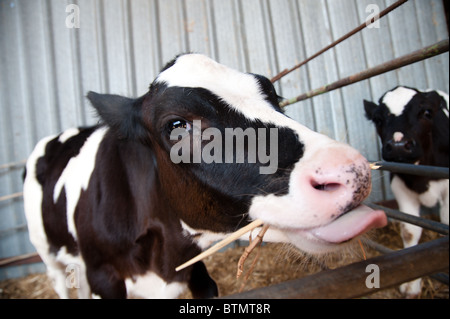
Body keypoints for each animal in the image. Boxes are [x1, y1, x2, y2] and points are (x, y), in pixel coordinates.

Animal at [23, 53, 386, 300]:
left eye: (274, 96)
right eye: (177, 125)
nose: (349, 170)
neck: (164, 257)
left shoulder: (196, 270)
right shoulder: (104, 276)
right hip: (46, 251)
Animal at [364, 85, 448, 298]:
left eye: (426, 112)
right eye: (378, 119)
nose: (398, 145)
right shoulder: (400, 186)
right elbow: (410, 232)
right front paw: (411, 285)